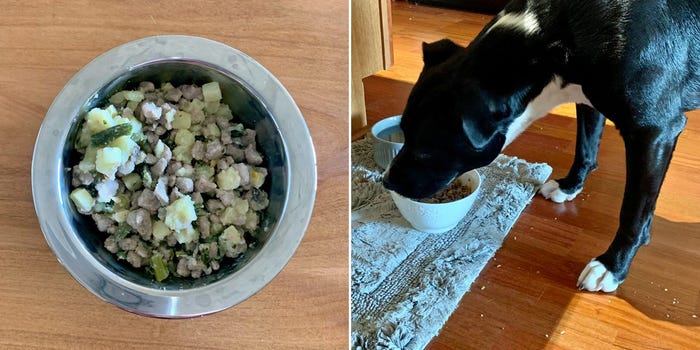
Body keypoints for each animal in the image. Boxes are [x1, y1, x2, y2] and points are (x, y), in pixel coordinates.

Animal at [382, 0, 700, 292]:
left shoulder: (654, 131)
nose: (387, 182)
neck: (549, 44)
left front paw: (612, 266)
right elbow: (585, 149)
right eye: (403, 132)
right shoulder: (587, 99)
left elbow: (634, 212)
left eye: (425, 151)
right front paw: (569, 187)